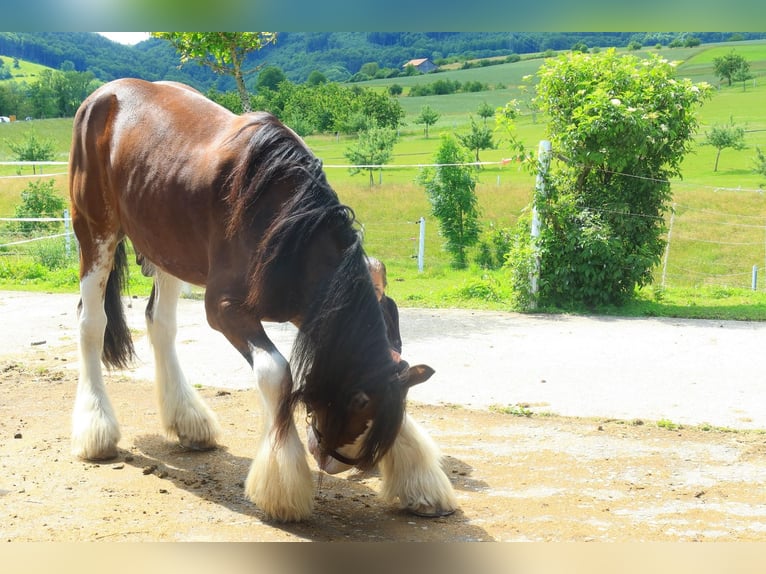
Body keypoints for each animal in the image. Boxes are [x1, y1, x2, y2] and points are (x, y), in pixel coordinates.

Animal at [67, 78, 457, 522]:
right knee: (91, 324)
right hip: (94, 230)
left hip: (165, 244)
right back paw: (96, 430)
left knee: (160, 324)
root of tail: (106, 94)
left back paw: (187, 420)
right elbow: (277, 374)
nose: (333, 462)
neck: (289, 220)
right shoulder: (225, 308)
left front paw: (417, 479)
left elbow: (392, 374)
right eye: (356, 407)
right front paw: (284, 483)